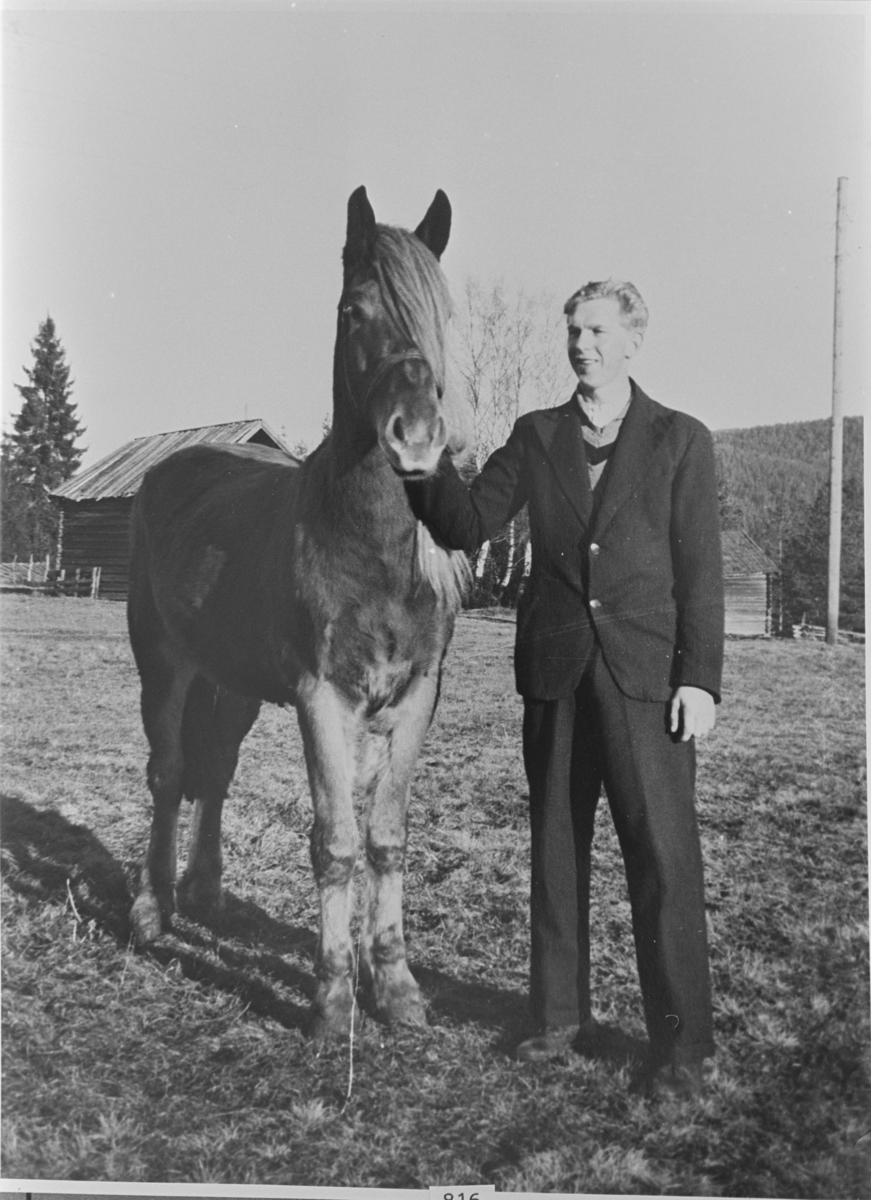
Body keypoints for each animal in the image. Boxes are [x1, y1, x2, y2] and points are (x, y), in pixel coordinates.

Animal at [125, 182, 470, 1036]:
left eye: (439, 314)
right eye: (353, 311)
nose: (416, 440)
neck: (368, 549)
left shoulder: (414, 700)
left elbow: (386, 837)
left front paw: (398, 988)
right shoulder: (324, 701)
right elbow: (335, 841)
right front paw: (333, 998)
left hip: (234, 685)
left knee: (214, 772)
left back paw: (206, 893)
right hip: (164, 668)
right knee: (169, 774)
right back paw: (152, 911)